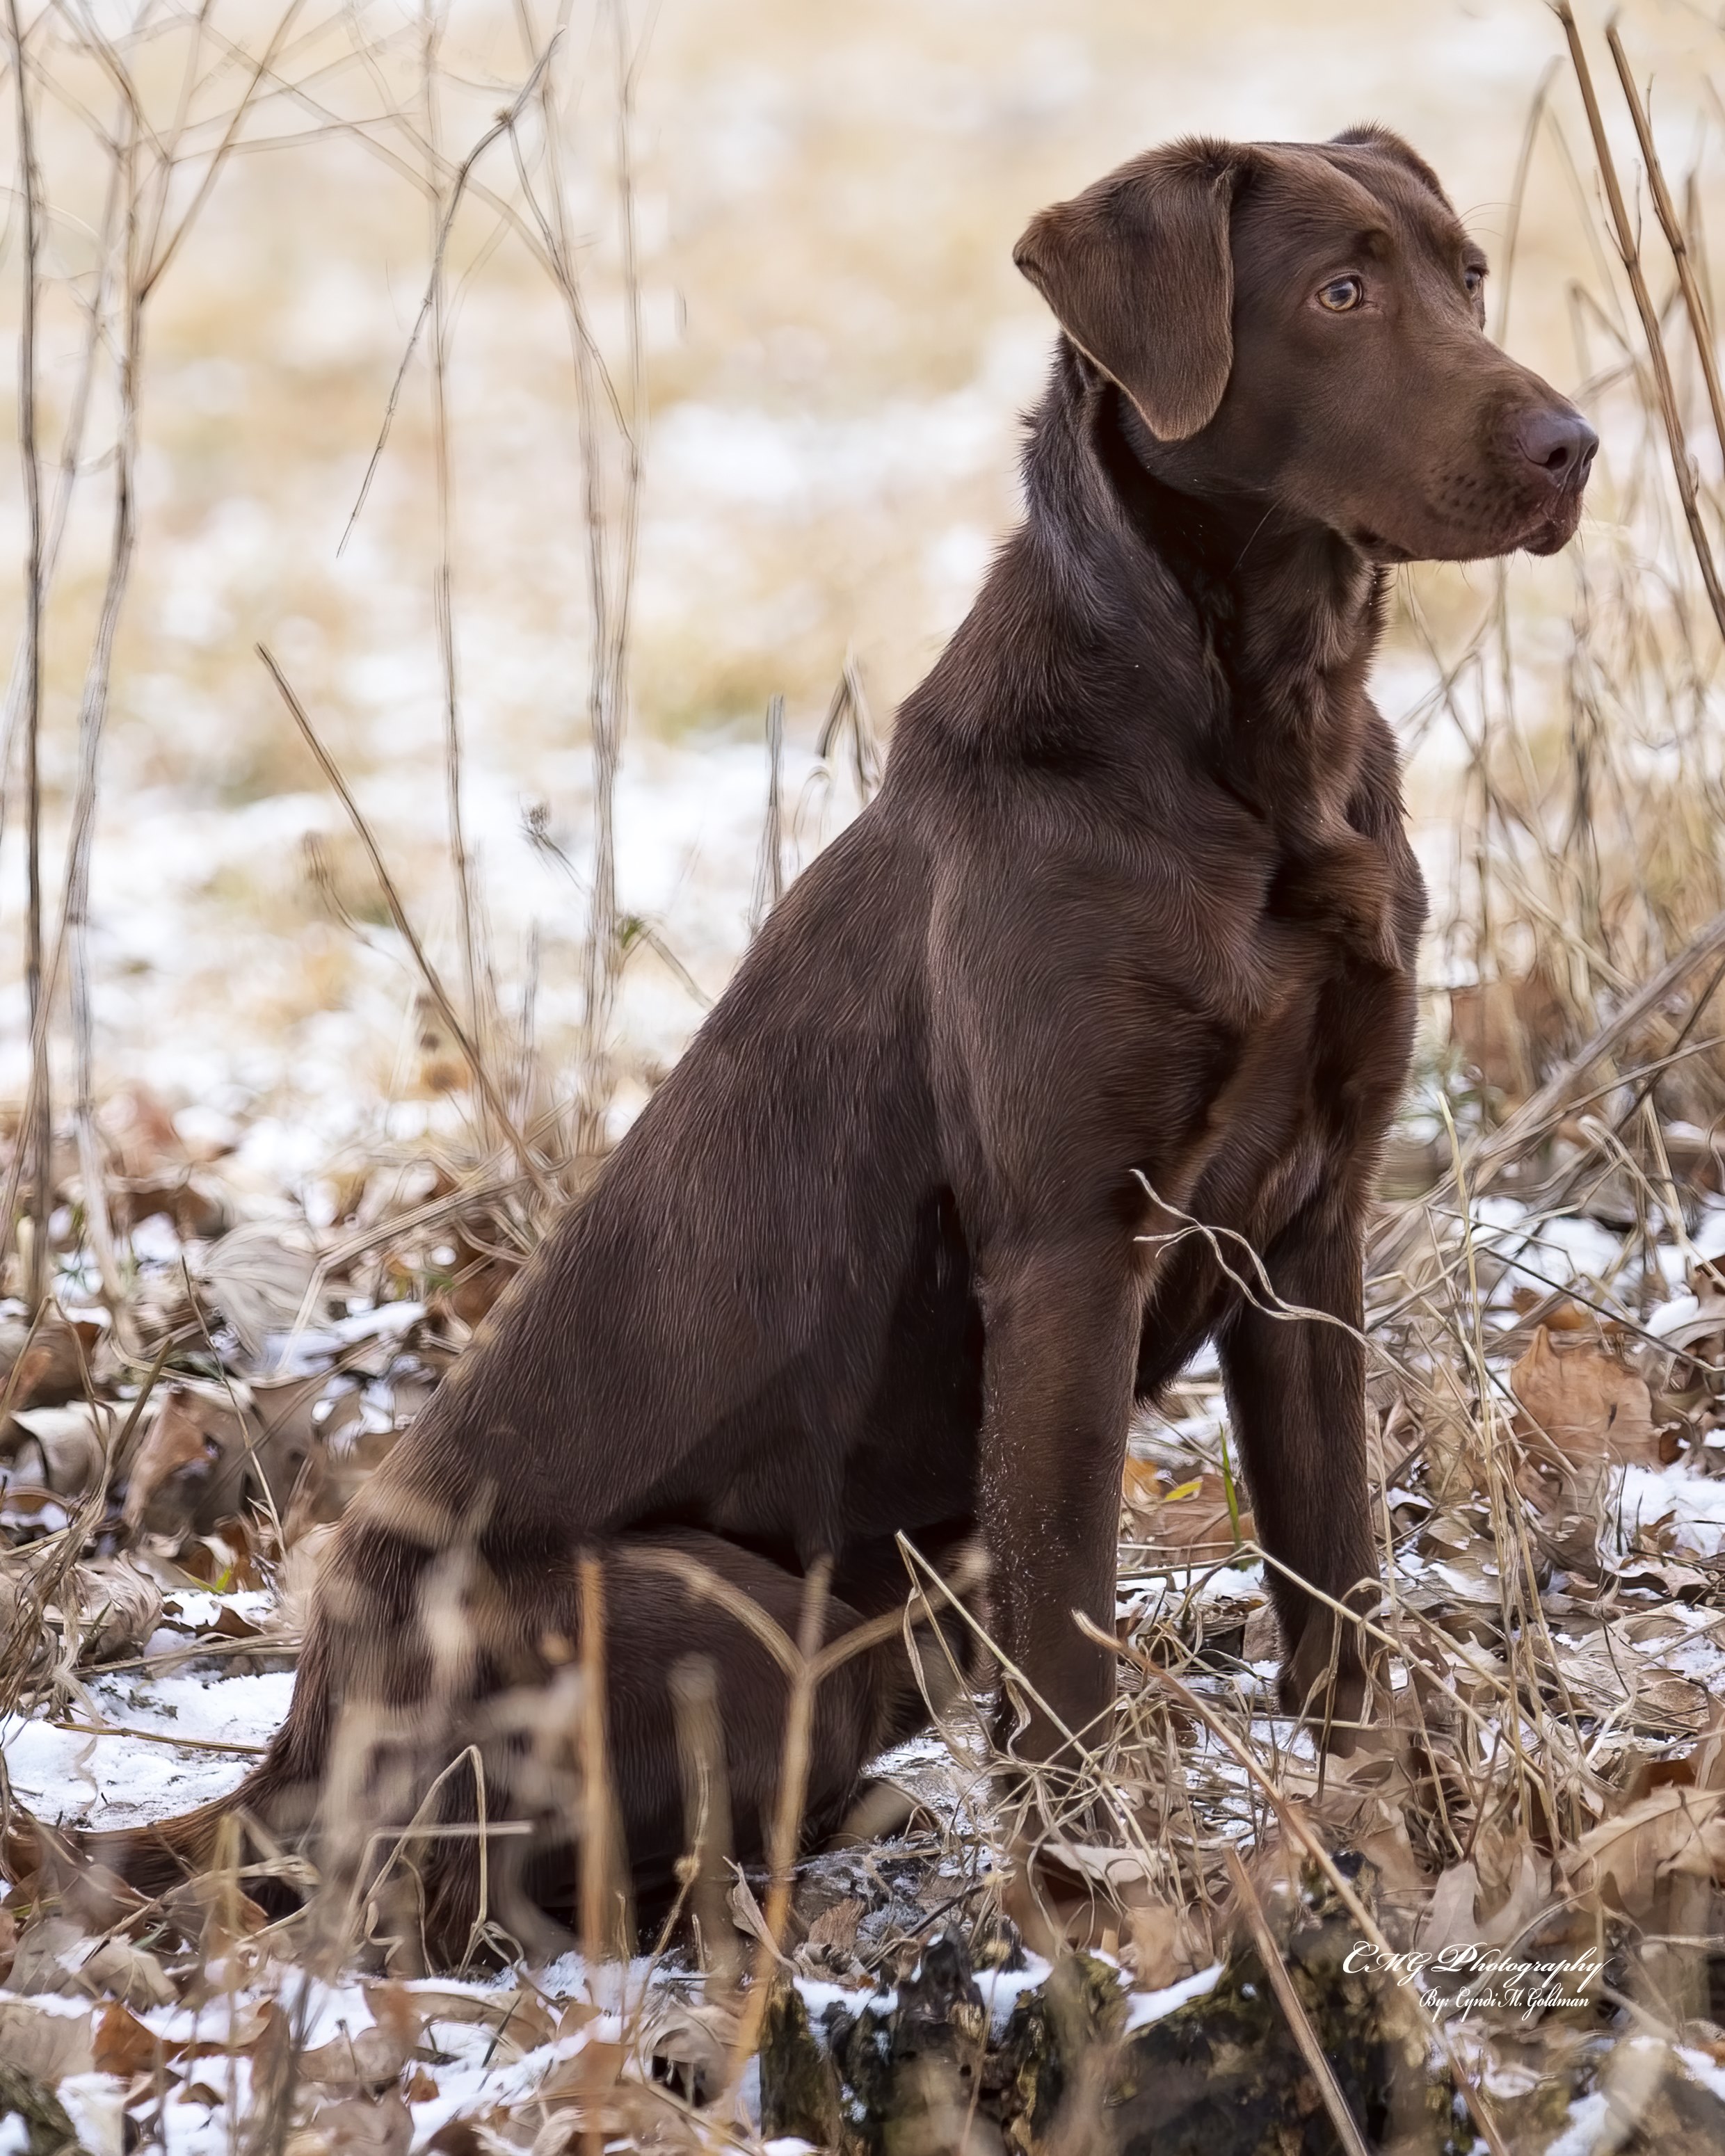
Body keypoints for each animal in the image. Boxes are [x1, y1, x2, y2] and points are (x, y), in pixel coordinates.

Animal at [81, 130, 1587, 1957]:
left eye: (1468, 275)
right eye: (1341, 290)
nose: (1572, 443)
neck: (1260, 736)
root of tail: (289, 1753)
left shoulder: (1309, 1228)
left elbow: (1336, 1581)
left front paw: (1400, 1829)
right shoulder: (1065, 1247)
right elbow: (1069, 1633)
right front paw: (1089, 1899)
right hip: (715, 1599)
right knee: (486, 1891)